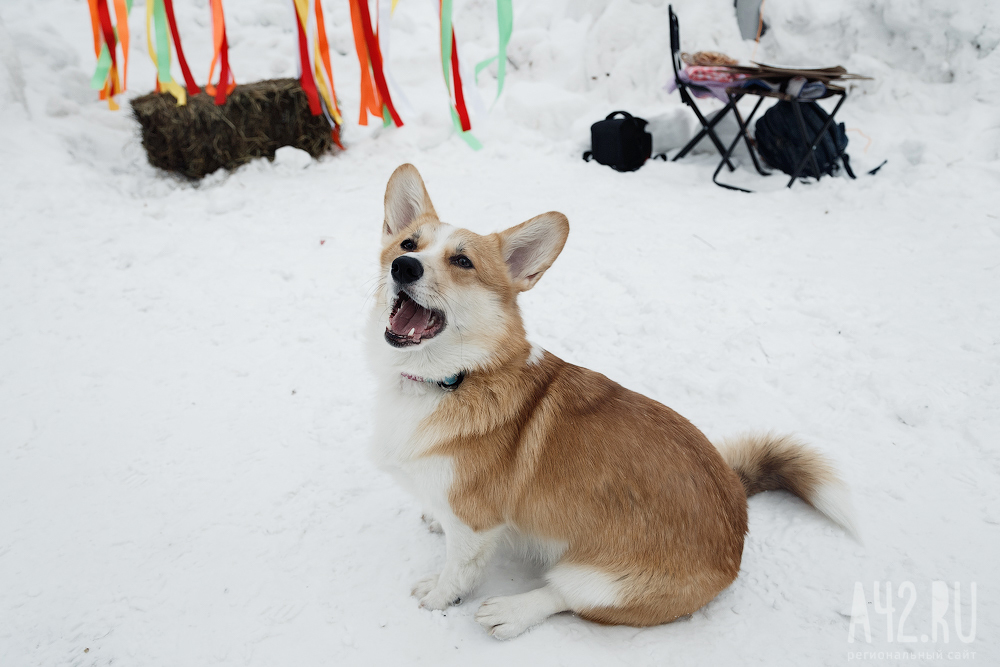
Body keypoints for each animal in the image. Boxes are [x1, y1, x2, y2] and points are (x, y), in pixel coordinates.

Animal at [368, 164, 852, 640]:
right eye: (408, 244)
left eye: (462, 261)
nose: (404, 266)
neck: (453, 378)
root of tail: (739, 514)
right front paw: (434, 519)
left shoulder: (475, 526)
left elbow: (457, 571)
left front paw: (437, 597)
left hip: (601, 579)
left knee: (563, 595)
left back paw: (510, 611)